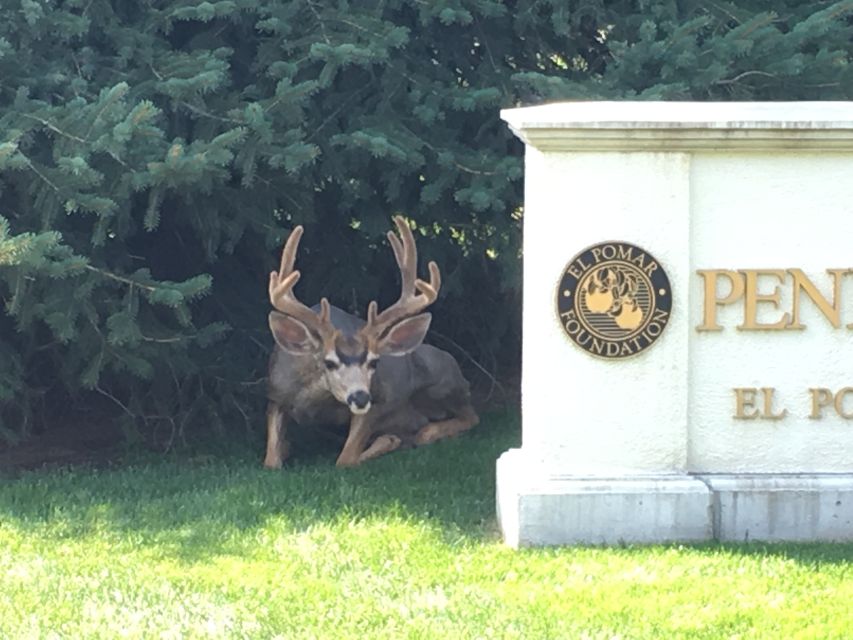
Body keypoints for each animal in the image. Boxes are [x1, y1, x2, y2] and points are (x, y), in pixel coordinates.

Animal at [264, 218, 480, 468]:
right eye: (329, 363)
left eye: (374, 362)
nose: (360, 397)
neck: (313, 403)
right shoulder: (275, 395)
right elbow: (271, 461)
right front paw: (284, 450)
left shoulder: (376, 404)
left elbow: (346, 458)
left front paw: (388, 441)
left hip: (443, 383)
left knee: (470, 416)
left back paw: (416, 434)